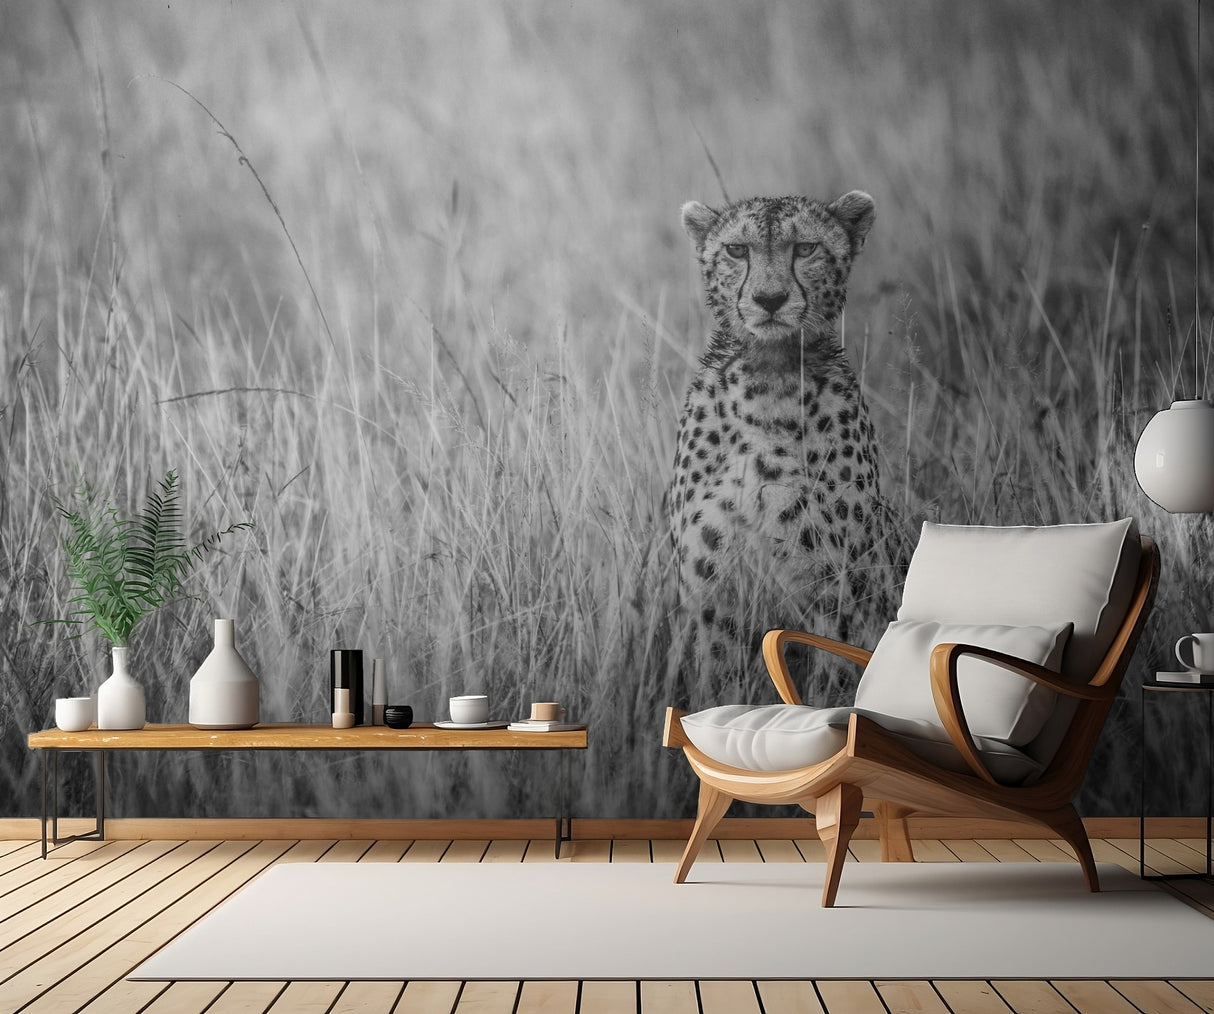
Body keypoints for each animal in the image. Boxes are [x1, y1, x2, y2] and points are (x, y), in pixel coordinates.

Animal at [667, 191, 895, 699]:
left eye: (805, 248)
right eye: (737, 251)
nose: (769, 299)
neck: (768, 377)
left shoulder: (837, 596)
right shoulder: (715, 603)